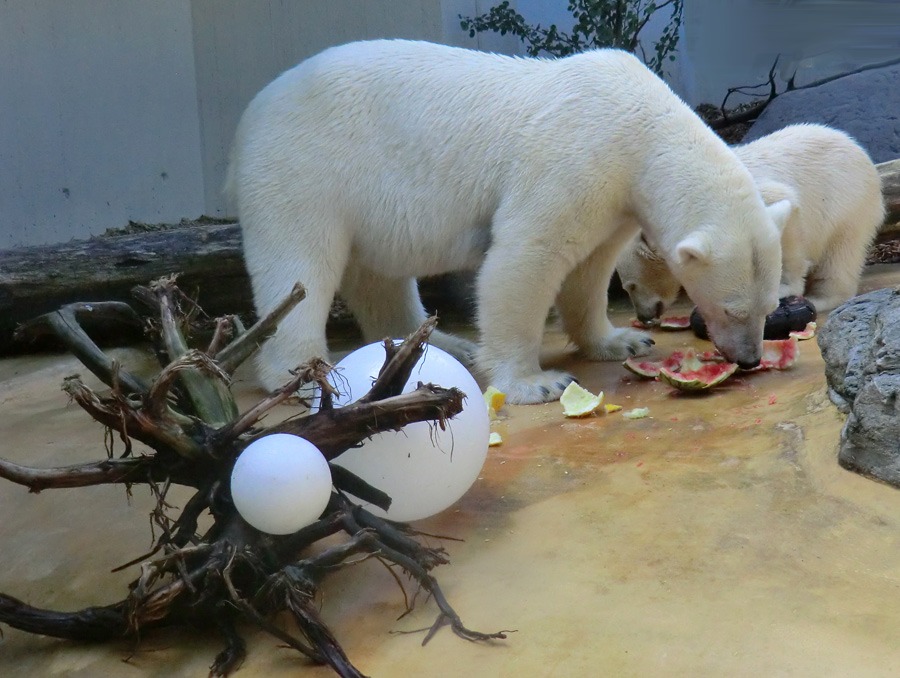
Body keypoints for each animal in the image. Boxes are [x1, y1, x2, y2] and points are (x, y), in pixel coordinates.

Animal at [229, 38, 792, 404]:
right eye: (733, 308)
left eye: (770, 306)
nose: (748, 358)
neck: (642, 124)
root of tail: (250, 114)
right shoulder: (574, 158)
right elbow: (526, 257)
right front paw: (536, 382)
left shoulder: (614, 195)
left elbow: (590, 268)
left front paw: (621, 341)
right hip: (304, 169)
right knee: (299, 266)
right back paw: (306, 377)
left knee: (378, 277)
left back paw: (436, 344)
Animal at [620, 123, 884, 322]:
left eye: (630, 286)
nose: (643, 316)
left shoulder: (750, 205)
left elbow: (785, 209)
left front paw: (785, 287)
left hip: (847, 201)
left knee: (840, 254)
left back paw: (821, 298)